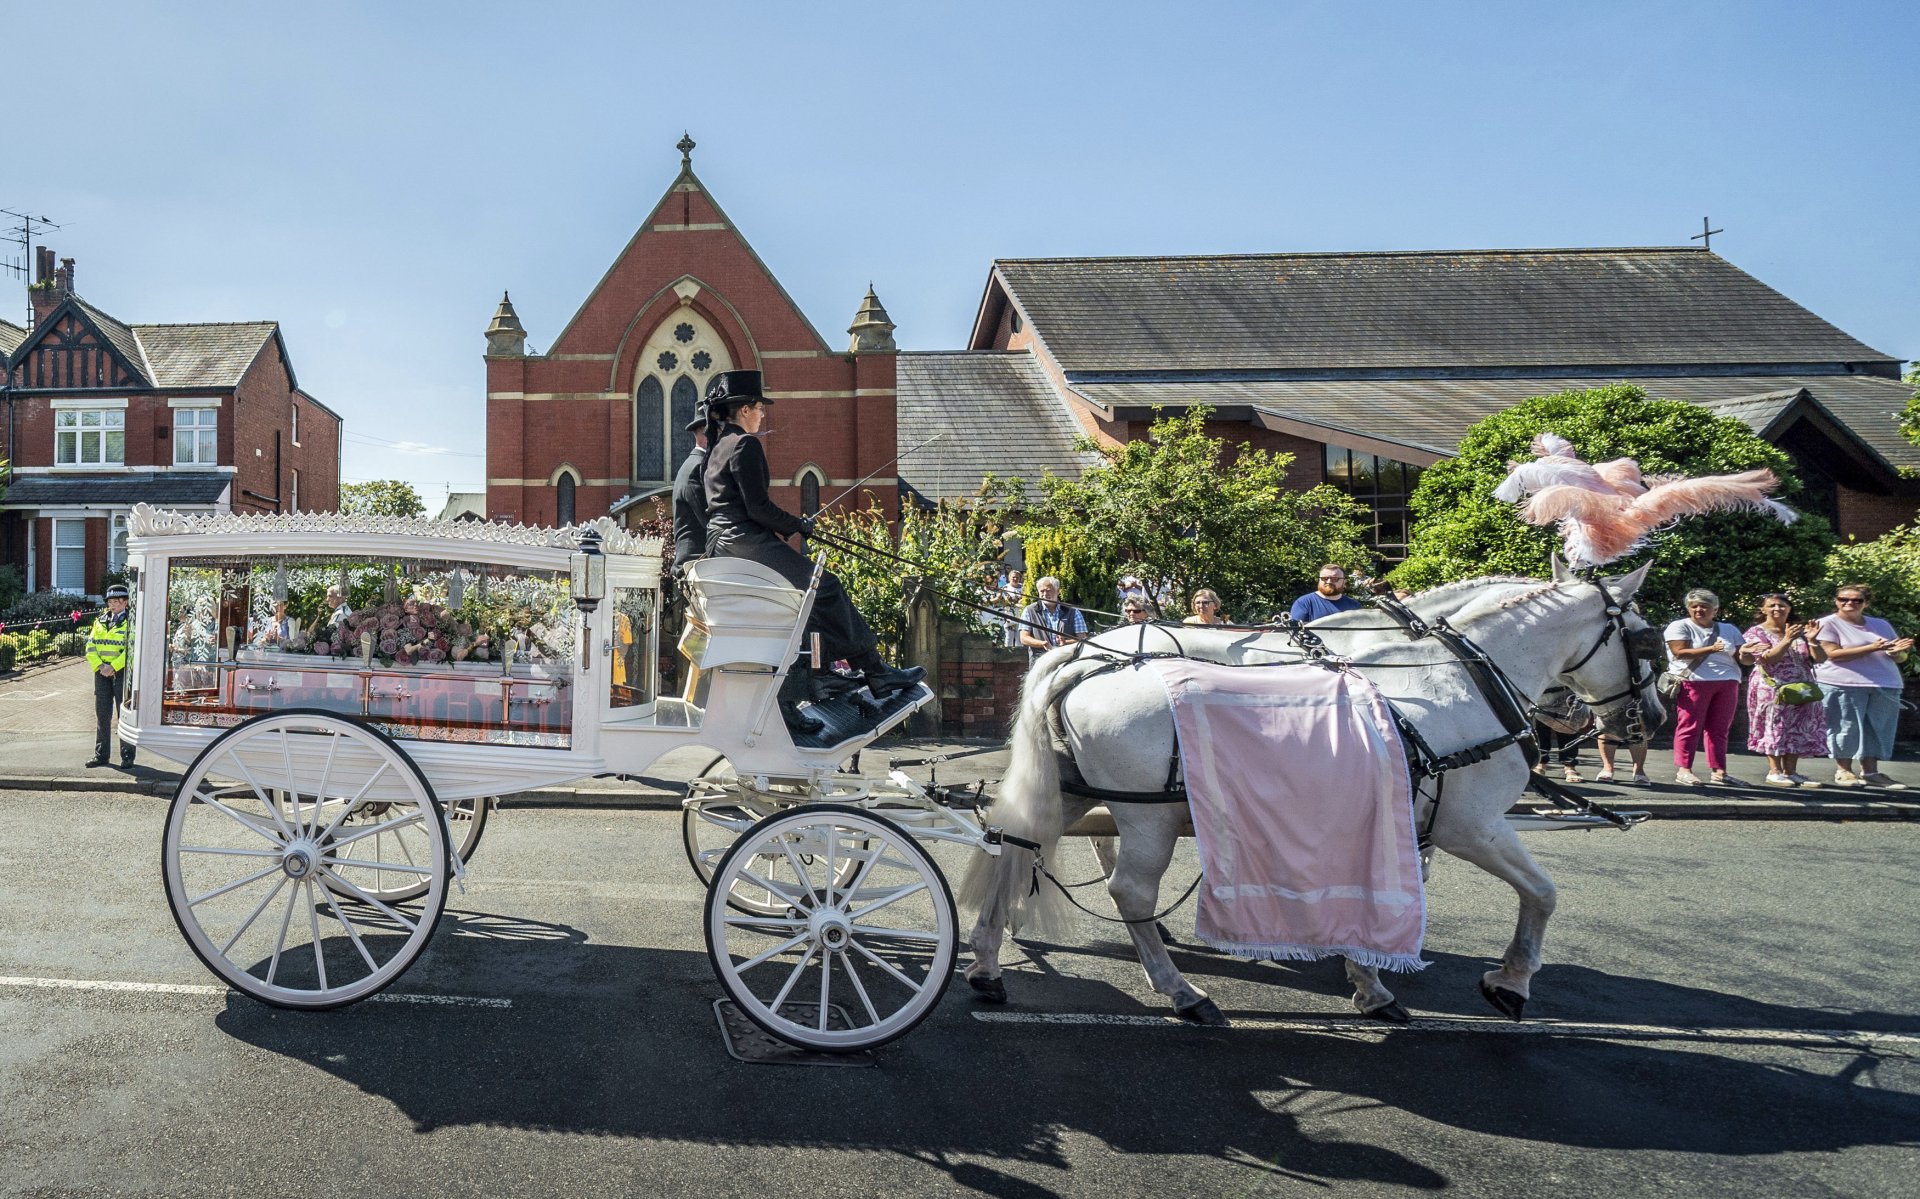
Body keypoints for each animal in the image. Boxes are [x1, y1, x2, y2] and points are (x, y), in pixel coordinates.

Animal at [967, 564, 1658, 1022]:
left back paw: (987, 962)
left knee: (1015, 845)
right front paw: (1509, 982)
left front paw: (1369, 971)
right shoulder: (1470, 821)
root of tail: (1084, 658)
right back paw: (1179, 990)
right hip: (1151, 815)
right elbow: (1541, 892)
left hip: (1074, 790)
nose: (1644, 718)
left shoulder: (1395, 813)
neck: (1455, 674)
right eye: (1647, 637)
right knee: (1128, 888)